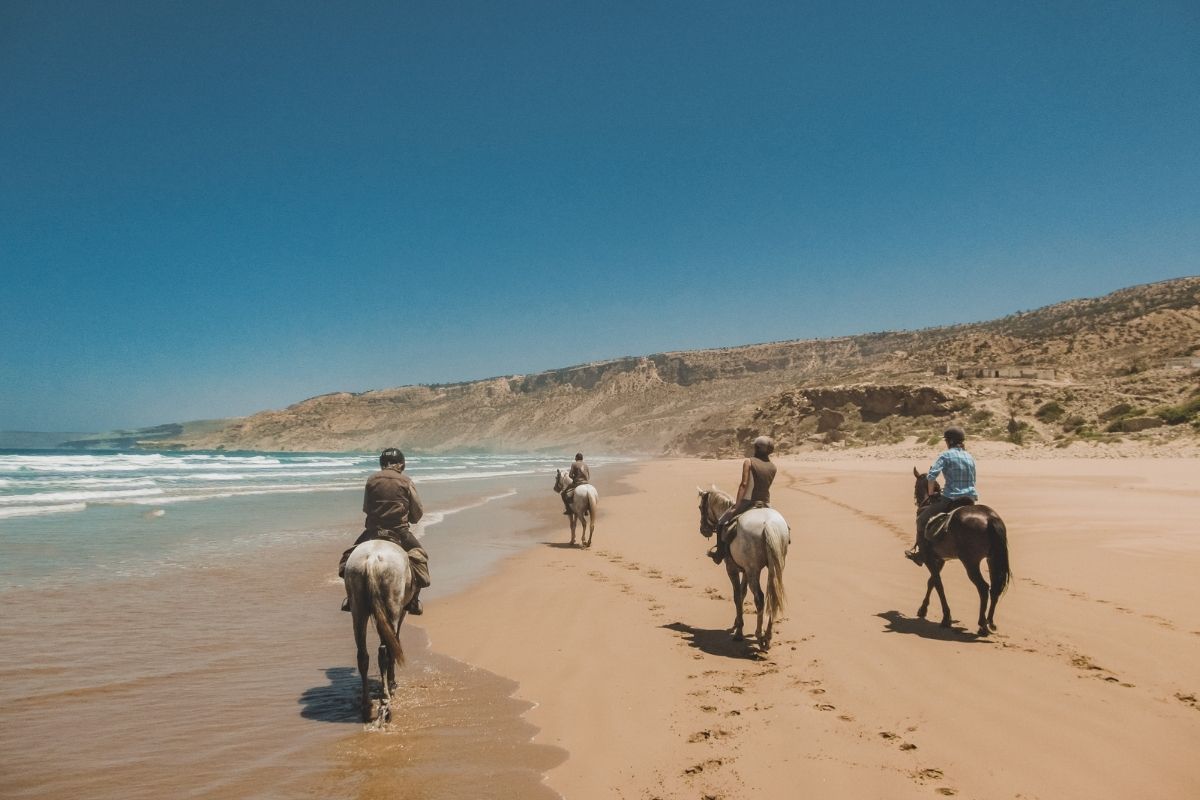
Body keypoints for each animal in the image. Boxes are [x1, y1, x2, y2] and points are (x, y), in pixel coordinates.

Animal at [343, 539, 414, 723]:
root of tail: (371, 560)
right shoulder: (401, 612)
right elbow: (395, 643)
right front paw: (392, 682)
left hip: (358, 607)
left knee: (362, 655)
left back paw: (366, 704)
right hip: (392, 605)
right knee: (385, 651)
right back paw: (385, 699)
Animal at [697, 487, 790, 651]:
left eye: (701, 507)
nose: (703, 530)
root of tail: (769, 524)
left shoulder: (732, 568)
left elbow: (737, 596)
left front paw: (739, 631)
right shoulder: (745, 570)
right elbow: (743, 593)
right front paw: (736, 624)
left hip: (754, 571)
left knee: (760, 598)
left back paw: (760, 636)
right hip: (774, 568)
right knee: (773, 595)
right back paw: (768, 636)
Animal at [911, 468, 1012, 636]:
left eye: (915, 487)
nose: (917, 502)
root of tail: (990, 518)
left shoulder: (929, 557)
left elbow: (938, 584)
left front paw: (946, 618)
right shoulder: (940, 559)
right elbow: (932, 582)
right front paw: (923, 609)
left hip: (970, 562)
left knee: (983, 588)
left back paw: (982, 624)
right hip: (992, 559)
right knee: (994, 588)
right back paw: (990, 622)